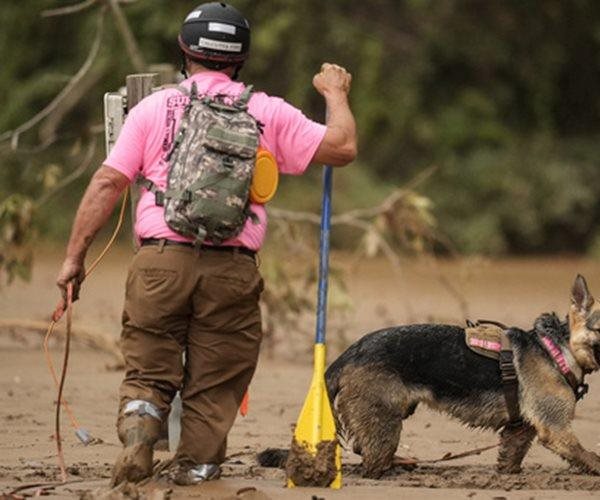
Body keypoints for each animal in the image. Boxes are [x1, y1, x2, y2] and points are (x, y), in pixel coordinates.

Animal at [260, 276, 600, 478]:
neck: (559, 349)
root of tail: (348, 354)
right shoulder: (556, 430)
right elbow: (590, 455)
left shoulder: (521, 430)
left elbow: (510, 458)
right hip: (386, 423)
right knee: (370, 461)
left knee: (361, 448)